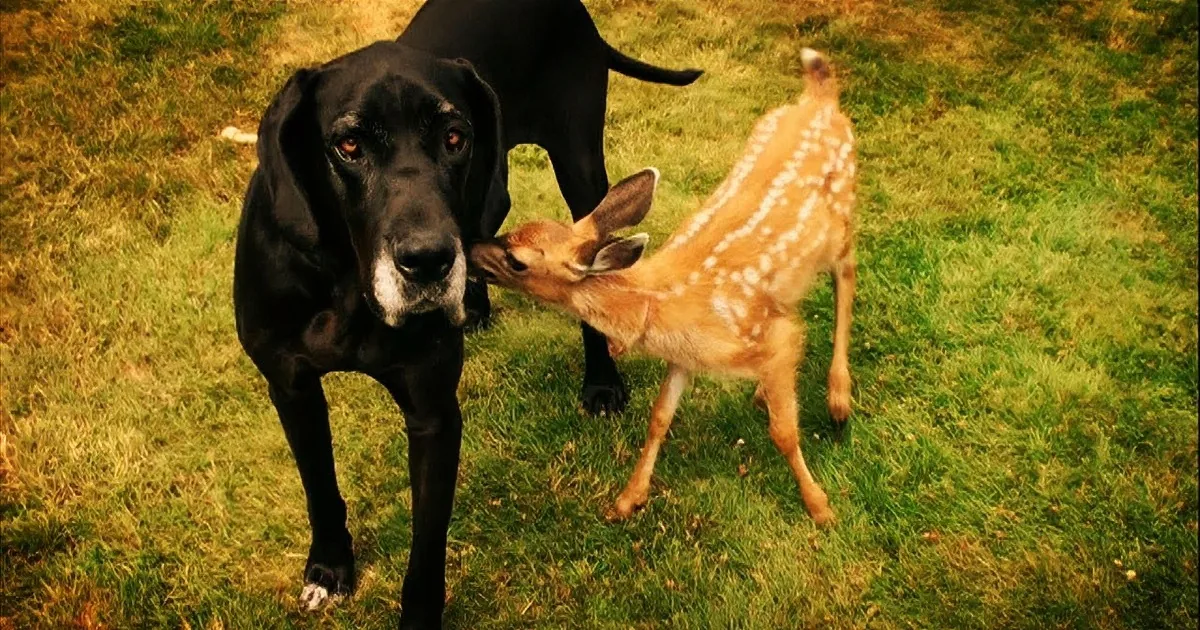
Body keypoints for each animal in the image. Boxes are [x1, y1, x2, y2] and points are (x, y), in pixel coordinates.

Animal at [469, 49, 856, 525]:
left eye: (518, 261)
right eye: (518, 228)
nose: (470, 247)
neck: (663, 305)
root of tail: (820, 98)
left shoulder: (770, 339)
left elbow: (784, 432)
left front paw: (820, 506)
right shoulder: (685, 357)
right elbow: (659, 417)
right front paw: (627, 499)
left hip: (843, 219)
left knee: (847, 279)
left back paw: (839, 398)